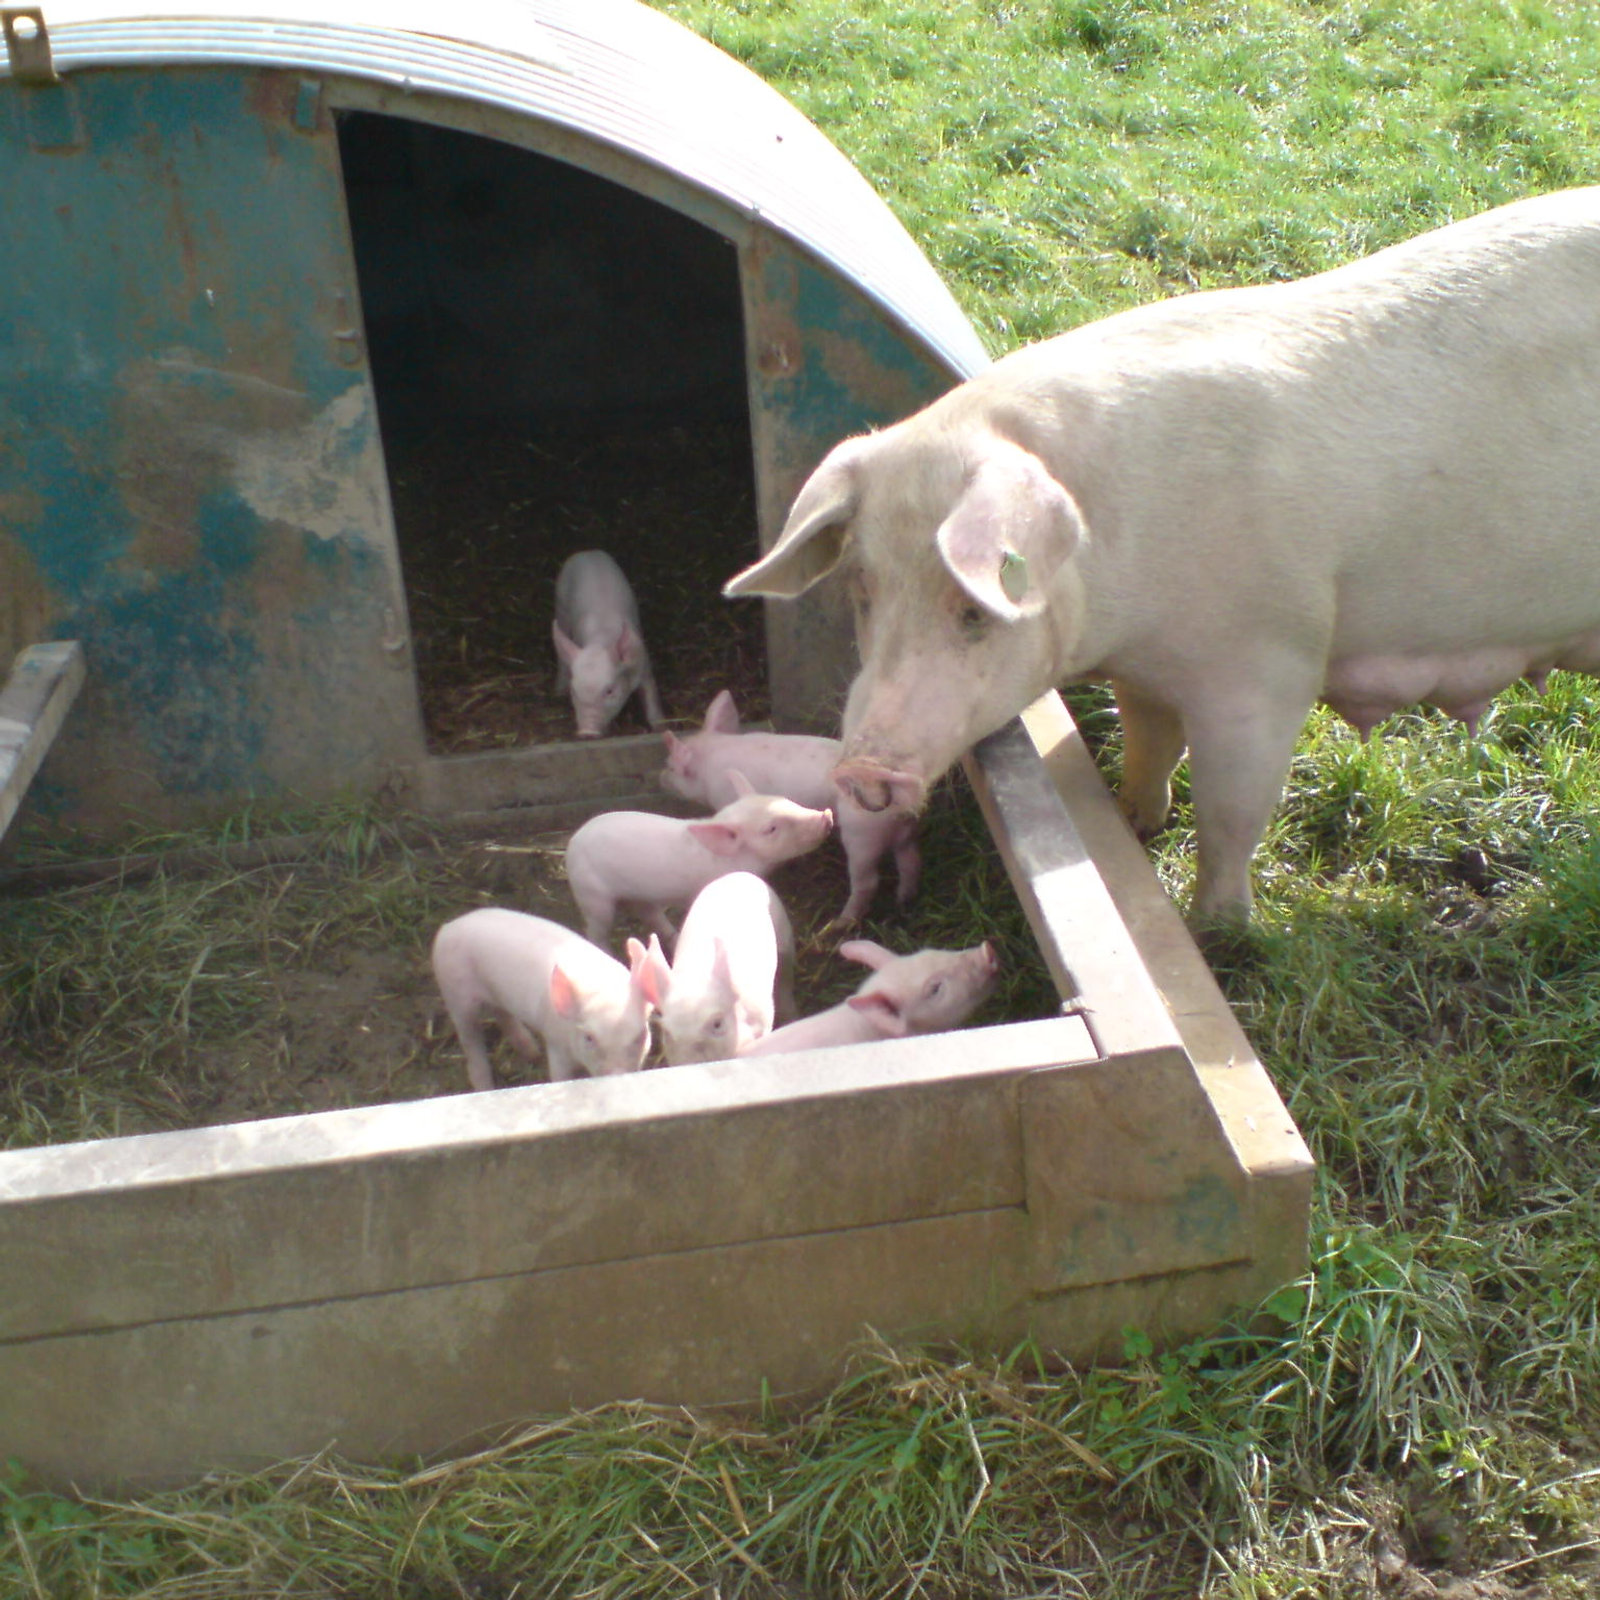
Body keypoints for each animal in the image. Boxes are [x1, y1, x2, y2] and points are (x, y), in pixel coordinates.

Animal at [431, 908, 654, 1091]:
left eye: (641, 1035)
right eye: (589, 1037)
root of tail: (447, 928)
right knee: (471, 1042)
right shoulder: (555, 1042)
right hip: (455, 994)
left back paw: (532, 1052)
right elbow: (559, 1075)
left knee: (501, 1013)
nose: (618, 1074)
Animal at [553, 549, 665, 738]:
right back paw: (558, 692)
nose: (586, 732)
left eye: (609, 691)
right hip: (560, 602)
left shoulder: (643, 662)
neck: (601, 641)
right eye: (574, 692)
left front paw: (660, 728)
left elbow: (651, 693)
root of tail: (587, 551)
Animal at [564, 774, 833, 946]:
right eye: (771, 829)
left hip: (640, 894)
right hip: (592, 895)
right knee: (596, 931)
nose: (827, 815)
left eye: (784, 799)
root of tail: (573, 841)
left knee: (650, 914)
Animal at [661, 689, 920, 926]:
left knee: (868, 882)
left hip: (862, 834)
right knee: (910, 861)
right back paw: (903, 902)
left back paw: (840, 922)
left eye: (673, 768)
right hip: (904, 830)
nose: (661, 777)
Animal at [722, 187, 1600, 927]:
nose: (862, 773)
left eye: (972, 608)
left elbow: (1232, 812)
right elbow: (1150, 747)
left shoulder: (1266, 665)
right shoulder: (1147, 673)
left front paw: (1221, 928)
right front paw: (1136, 822)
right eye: (863, 589)